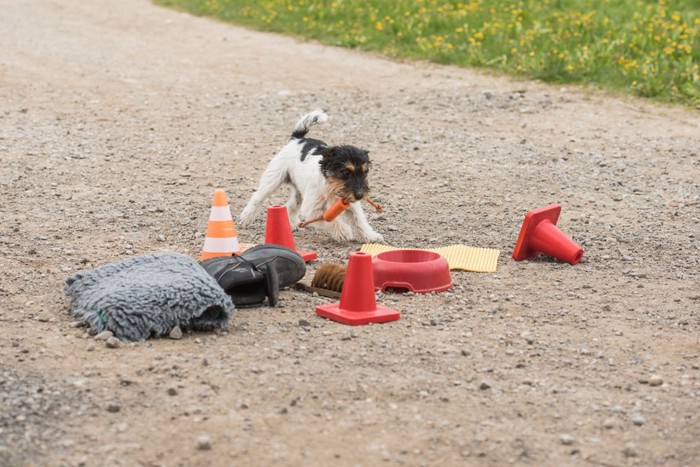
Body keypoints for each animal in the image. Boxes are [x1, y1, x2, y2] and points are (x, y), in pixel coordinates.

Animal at [239, 108, 382, 243]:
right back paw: (246, 218)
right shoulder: (313, 209)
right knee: (257, 197)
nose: (360, 195)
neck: (331, 186)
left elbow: (360, 221)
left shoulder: (351, 205)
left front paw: (370, 236)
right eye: (345, 172)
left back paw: (291, 224)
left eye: (365, 172)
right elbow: (329, 219)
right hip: (273, 179)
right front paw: (344, 232)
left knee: (290, 205)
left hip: (299, 192)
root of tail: (297, 139)